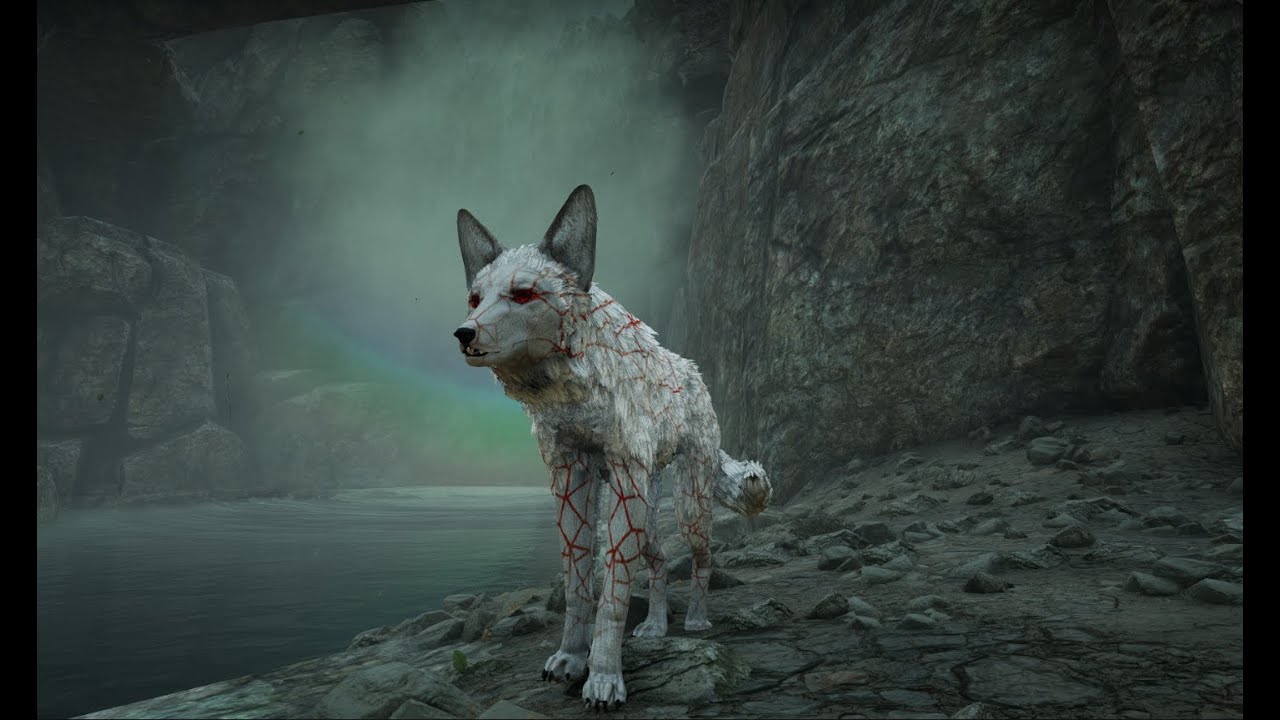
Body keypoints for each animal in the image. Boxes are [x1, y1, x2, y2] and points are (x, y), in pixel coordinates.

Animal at [451, 184, 772, 709]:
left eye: (523, 294)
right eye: (475, 299)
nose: (464, 333)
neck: (574, 391)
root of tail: (695, 375)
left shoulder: (622, 478)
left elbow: (612, 597)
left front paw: (603, 678)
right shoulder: (570, 476)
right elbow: (579, 583)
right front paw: (570, 658)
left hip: (687, 505)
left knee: (703, 561)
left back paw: (696, 621)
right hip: (647, 512)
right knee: (658, 564)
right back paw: (656, 628)